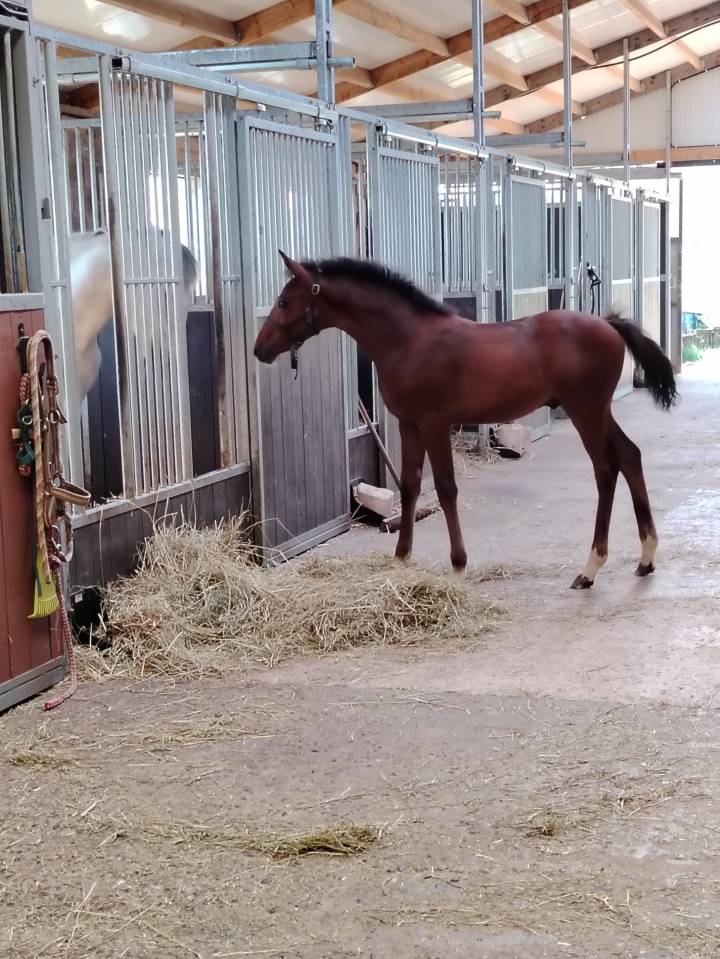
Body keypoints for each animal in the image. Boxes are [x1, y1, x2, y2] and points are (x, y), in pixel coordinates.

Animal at [253, 252, 678, 589]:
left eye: (283, 301)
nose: (260, 349)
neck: (409, 340)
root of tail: (607, 323)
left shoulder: (434, 423)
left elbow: (445, 488)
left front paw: (458, 564)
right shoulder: (409, 425)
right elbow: (410, 486)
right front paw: (402, 557)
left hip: (585, 411)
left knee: (606, 471)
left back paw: (589, 569)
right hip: (599, 411)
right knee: (630, 456)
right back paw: (645, 558)